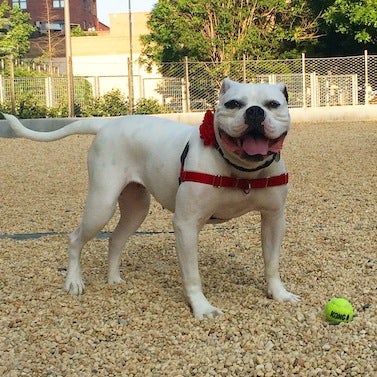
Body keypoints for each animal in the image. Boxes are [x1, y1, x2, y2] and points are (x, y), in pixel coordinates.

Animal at [4, 78, 298, 318]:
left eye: (273, 104)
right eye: (234, 104)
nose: (255, 111)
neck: (241, 170)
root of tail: (108, 123)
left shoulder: (274, 220)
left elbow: (272, 263)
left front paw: (278, 294)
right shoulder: (186, 225)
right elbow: (192, 275)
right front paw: (201, 308)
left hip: (137, 209)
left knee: (115, 239)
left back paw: (114, 279)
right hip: (101, 204)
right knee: (76, 238)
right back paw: (74, 281)